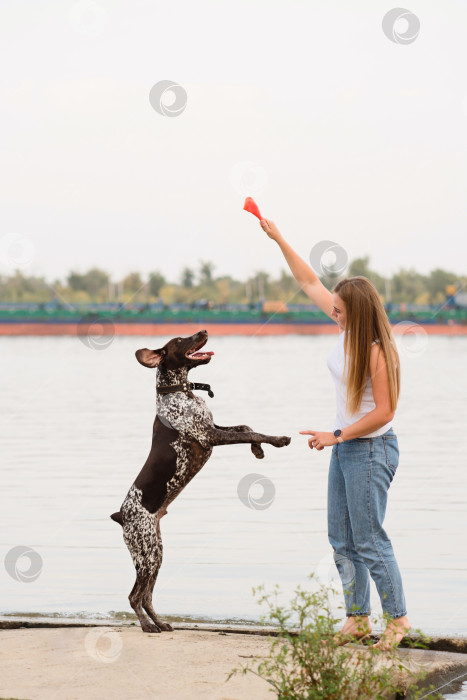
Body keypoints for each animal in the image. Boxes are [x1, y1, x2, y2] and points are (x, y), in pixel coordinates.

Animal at [111, 330, 290, 636]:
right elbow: (251, 431)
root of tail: (121, 515)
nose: (203, 331)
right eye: (180, 340)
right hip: (146, 553)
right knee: (135, 596)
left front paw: (257, 450)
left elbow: (245, 427)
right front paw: (276, 440)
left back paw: (160, 622)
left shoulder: (213, 429)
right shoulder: (209, 435)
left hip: (156, 553)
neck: (179, 392)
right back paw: (147, 626)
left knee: (146, 596)